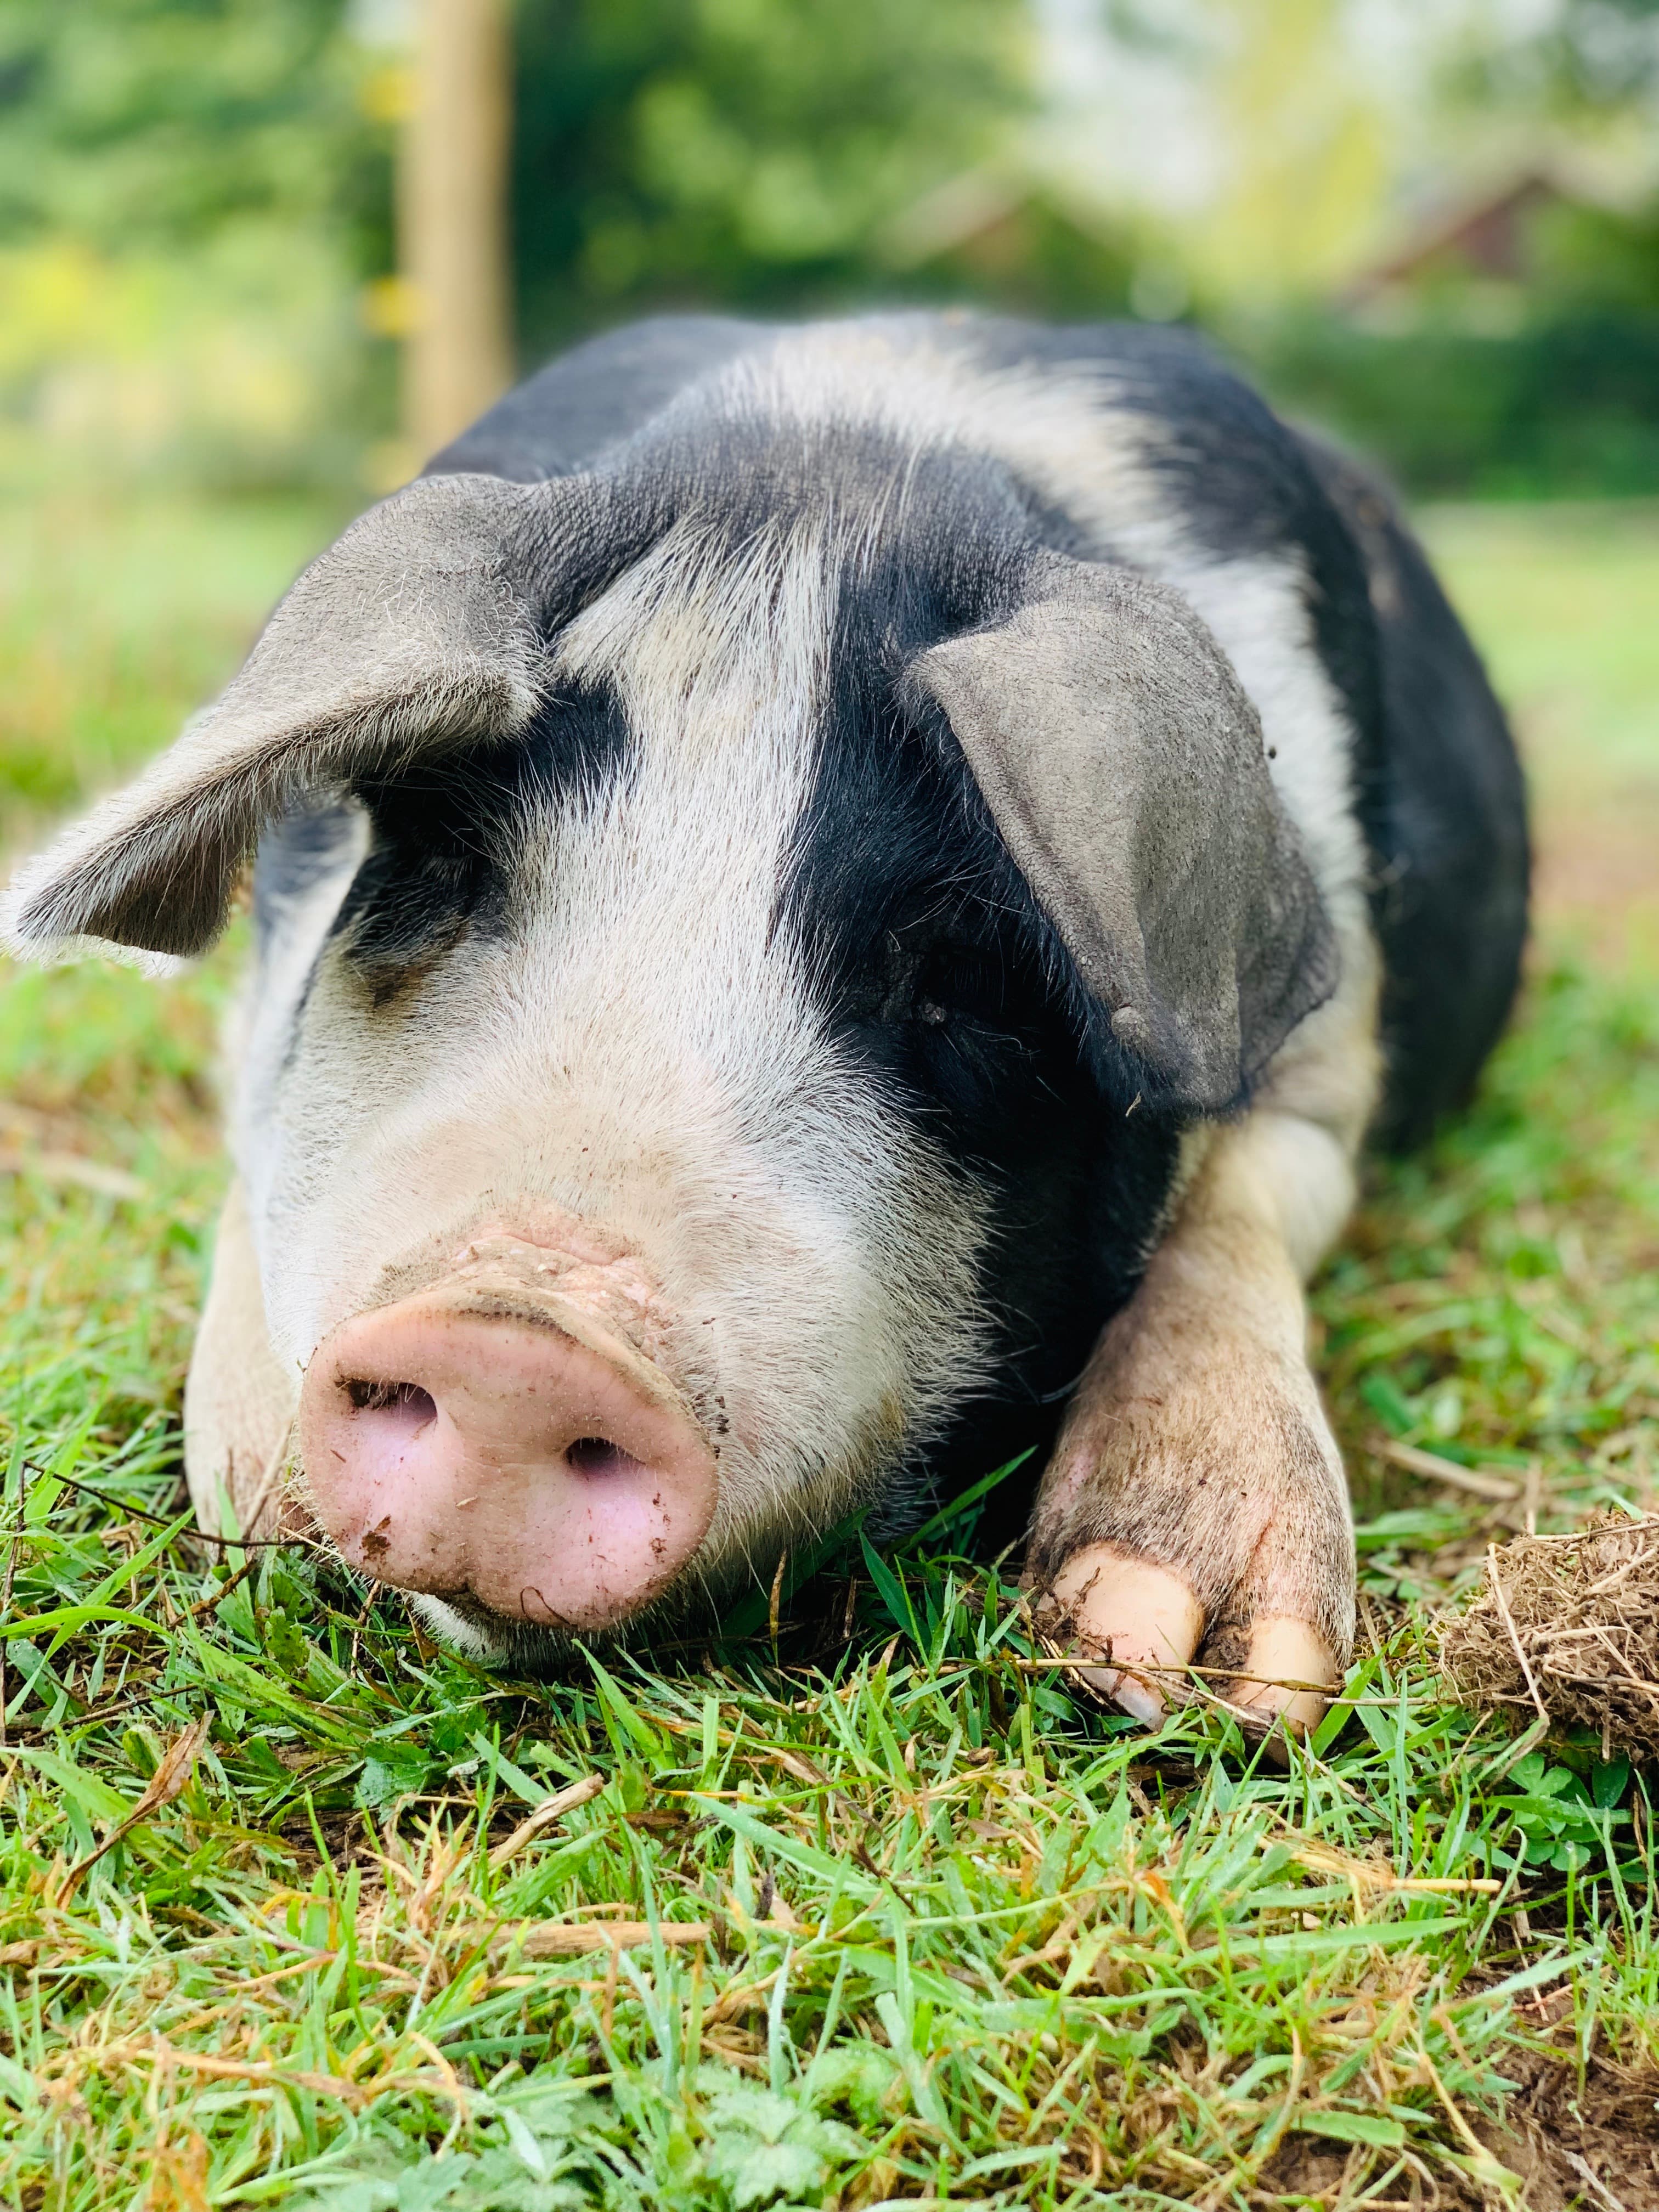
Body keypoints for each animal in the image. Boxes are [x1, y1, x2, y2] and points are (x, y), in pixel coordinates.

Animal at [4, 314, 1528, 1732]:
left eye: (962, 975)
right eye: (450, 864)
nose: (520, 1331)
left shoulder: (1335, 1053)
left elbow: (1248, 1198)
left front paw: (1196, 1662)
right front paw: (258, 1508)